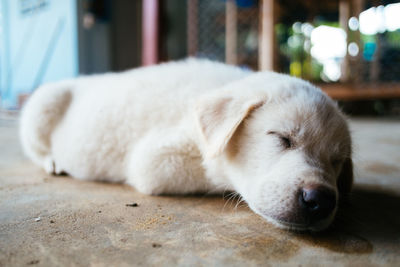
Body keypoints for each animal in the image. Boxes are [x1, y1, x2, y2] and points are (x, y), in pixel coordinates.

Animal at [20, 59, 352, 232]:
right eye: (282, 138)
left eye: (336, 162)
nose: (321, 199)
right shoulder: (154, 160)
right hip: (40, 107)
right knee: (34, 148)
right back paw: (52, 162)